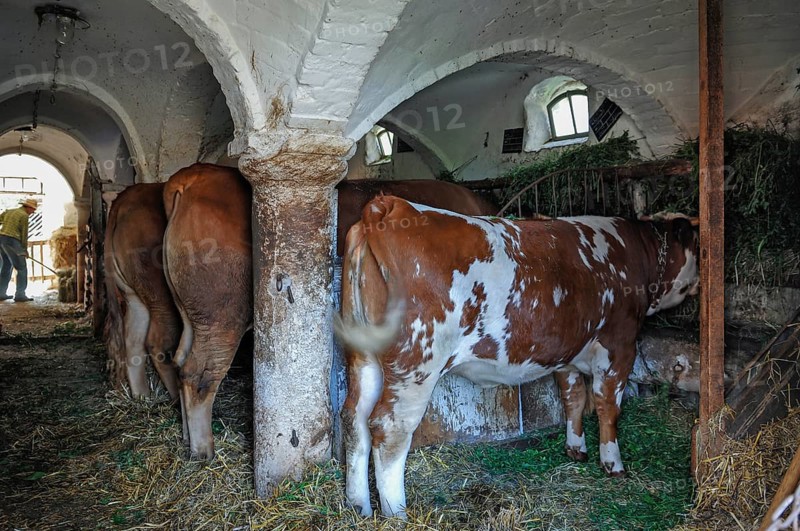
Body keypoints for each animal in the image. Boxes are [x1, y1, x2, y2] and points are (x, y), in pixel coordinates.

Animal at [159, 164, 498, 460]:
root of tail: (194, 176)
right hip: (221, 313)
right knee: (200, 374)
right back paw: (203, 449)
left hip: (193, 315)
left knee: (180, 361)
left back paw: (187, 439)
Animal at [335, 195, 700, 518]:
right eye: (696, 244)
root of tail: (390, 206)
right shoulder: (619, 345)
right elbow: (608, 407)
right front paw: (613, 464)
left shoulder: (566, 354)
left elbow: (574, 398)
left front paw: (575, 448)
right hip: (417, 364)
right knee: (390, 428)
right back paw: (397, 513)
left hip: (363, 357)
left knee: (354, 419)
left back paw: (359, 506)